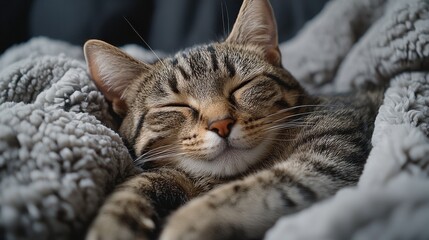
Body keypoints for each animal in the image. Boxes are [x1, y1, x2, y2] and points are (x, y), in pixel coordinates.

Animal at [83, 0, 382, 240]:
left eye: (241, 86)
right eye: (176, 106)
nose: (221, 124)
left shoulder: (332, 156)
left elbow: (254, 188)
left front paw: (185, 223)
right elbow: (130, 189)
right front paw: (112, 226)